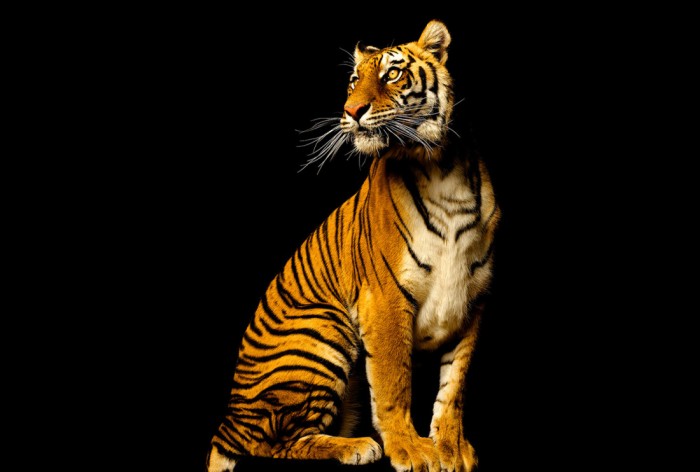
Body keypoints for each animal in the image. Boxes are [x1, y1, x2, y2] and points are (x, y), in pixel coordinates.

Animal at [207, 19, 500, 472]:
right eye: (352, 81)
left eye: (392, 74)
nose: (351, 111)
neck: (441, 166)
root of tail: (231, 417)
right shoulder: (385, 298)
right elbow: (394, 382)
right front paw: (411, 450)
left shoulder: (472, 300)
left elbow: (455, 386)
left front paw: (451, 447)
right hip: (325, 328)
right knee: (271, 443)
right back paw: (356, 446)